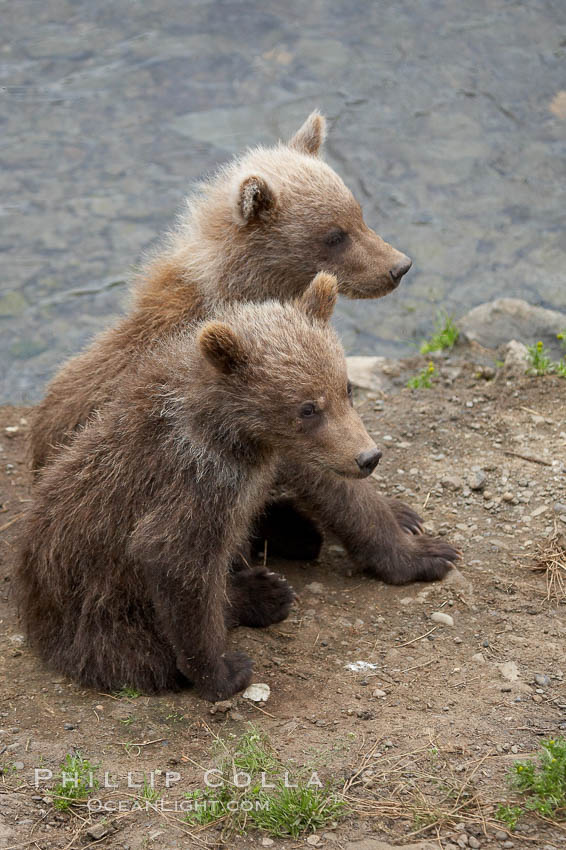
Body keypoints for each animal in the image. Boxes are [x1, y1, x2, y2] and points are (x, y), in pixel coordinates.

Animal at [17, 274, 385, 700]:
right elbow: (176, 562)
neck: (230, 433)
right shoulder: (193, 482)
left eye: (346, 388)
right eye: (308, 408)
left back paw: (269, 583)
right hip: (102, 617)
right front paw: (223, 672)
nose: (367, 456)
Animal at [29, 110, 458, 585]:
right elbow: (329, 480)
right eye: (334, 235)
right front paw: (421, 552)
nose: (399, 266)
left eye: (360, 213)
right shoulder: (268, 415)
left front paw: (403, 515)